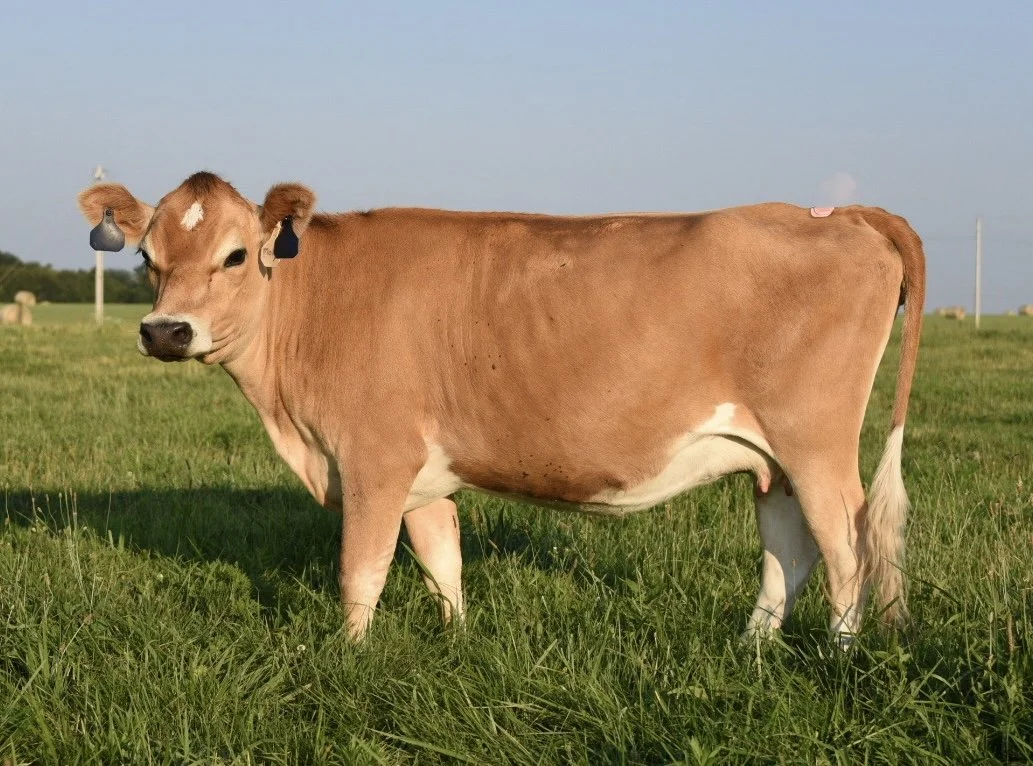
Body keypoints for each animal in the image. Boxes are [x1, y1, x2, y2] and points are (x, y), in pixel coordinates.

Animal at [78, 172, 925, 647]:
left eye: (232, 256)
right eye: (147, 258)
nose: (165, 330)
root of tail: (832, 213)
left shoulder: (373, 457)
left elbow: (361, 572)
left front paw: (346, 658)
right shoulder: (422, 472)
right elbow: (440, 564)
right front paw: (456, 646)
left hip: (815, 441)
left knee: (848, 548)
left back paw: (840, 658)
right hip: (768, 457)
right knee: (789, 551)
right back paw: (750, 651)